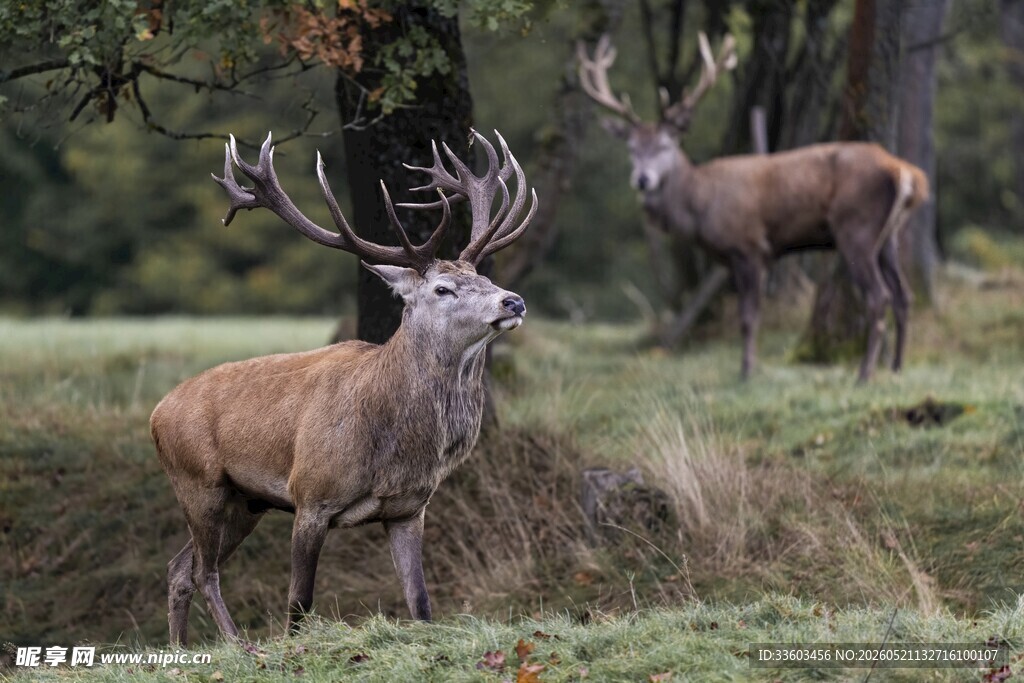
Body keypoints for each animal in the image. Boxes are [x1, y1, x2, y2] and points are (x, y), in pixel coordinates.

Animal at [150, 129, 537, 645]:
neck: (394, 448)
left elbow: (421, 603)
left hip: (246, 502)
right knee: (202, 570)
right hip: (199, 483)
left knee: (178, 568)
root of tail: (156, 413)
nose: (513, 300)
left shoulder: (409, 509)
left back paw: (180, 649)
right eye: (443, 289)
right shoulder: (310, 495)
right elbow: (298, 602)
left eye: (484, 276)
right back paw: (236, 642)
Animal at [579, 33, 928, 382]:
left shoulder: (749, 247)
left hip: (857, 228)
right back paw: (896, 368)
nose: (642, 179)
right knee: (904, 296)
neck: (700, 205)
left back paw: (864, 374)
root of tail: (904, 171)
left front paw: (746, 372)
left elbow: (748, 317)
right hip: (889, 235)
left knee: (879, 296)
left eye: (665, 146)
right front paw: (749, 368)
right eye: (631, 148)